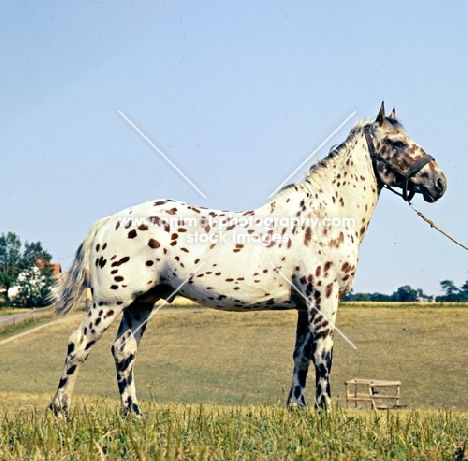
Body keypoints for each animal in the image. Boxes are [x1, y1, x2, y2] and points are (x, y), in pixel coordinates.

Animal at [50, 103, 446, 414]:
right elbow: (323, 356)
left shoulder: (304, 305)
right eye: (396, 143)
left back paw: (133, 414)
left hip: (142, 302)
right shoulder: (323, 301)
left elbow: (301, 356)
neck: (326, 214)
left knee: (123, 351)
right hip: (109, 302)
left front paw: (297, 410)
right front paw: (325, 414)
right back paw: (61, 410)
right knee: (78, 346)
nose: (439, 182)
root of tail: (108, 222)